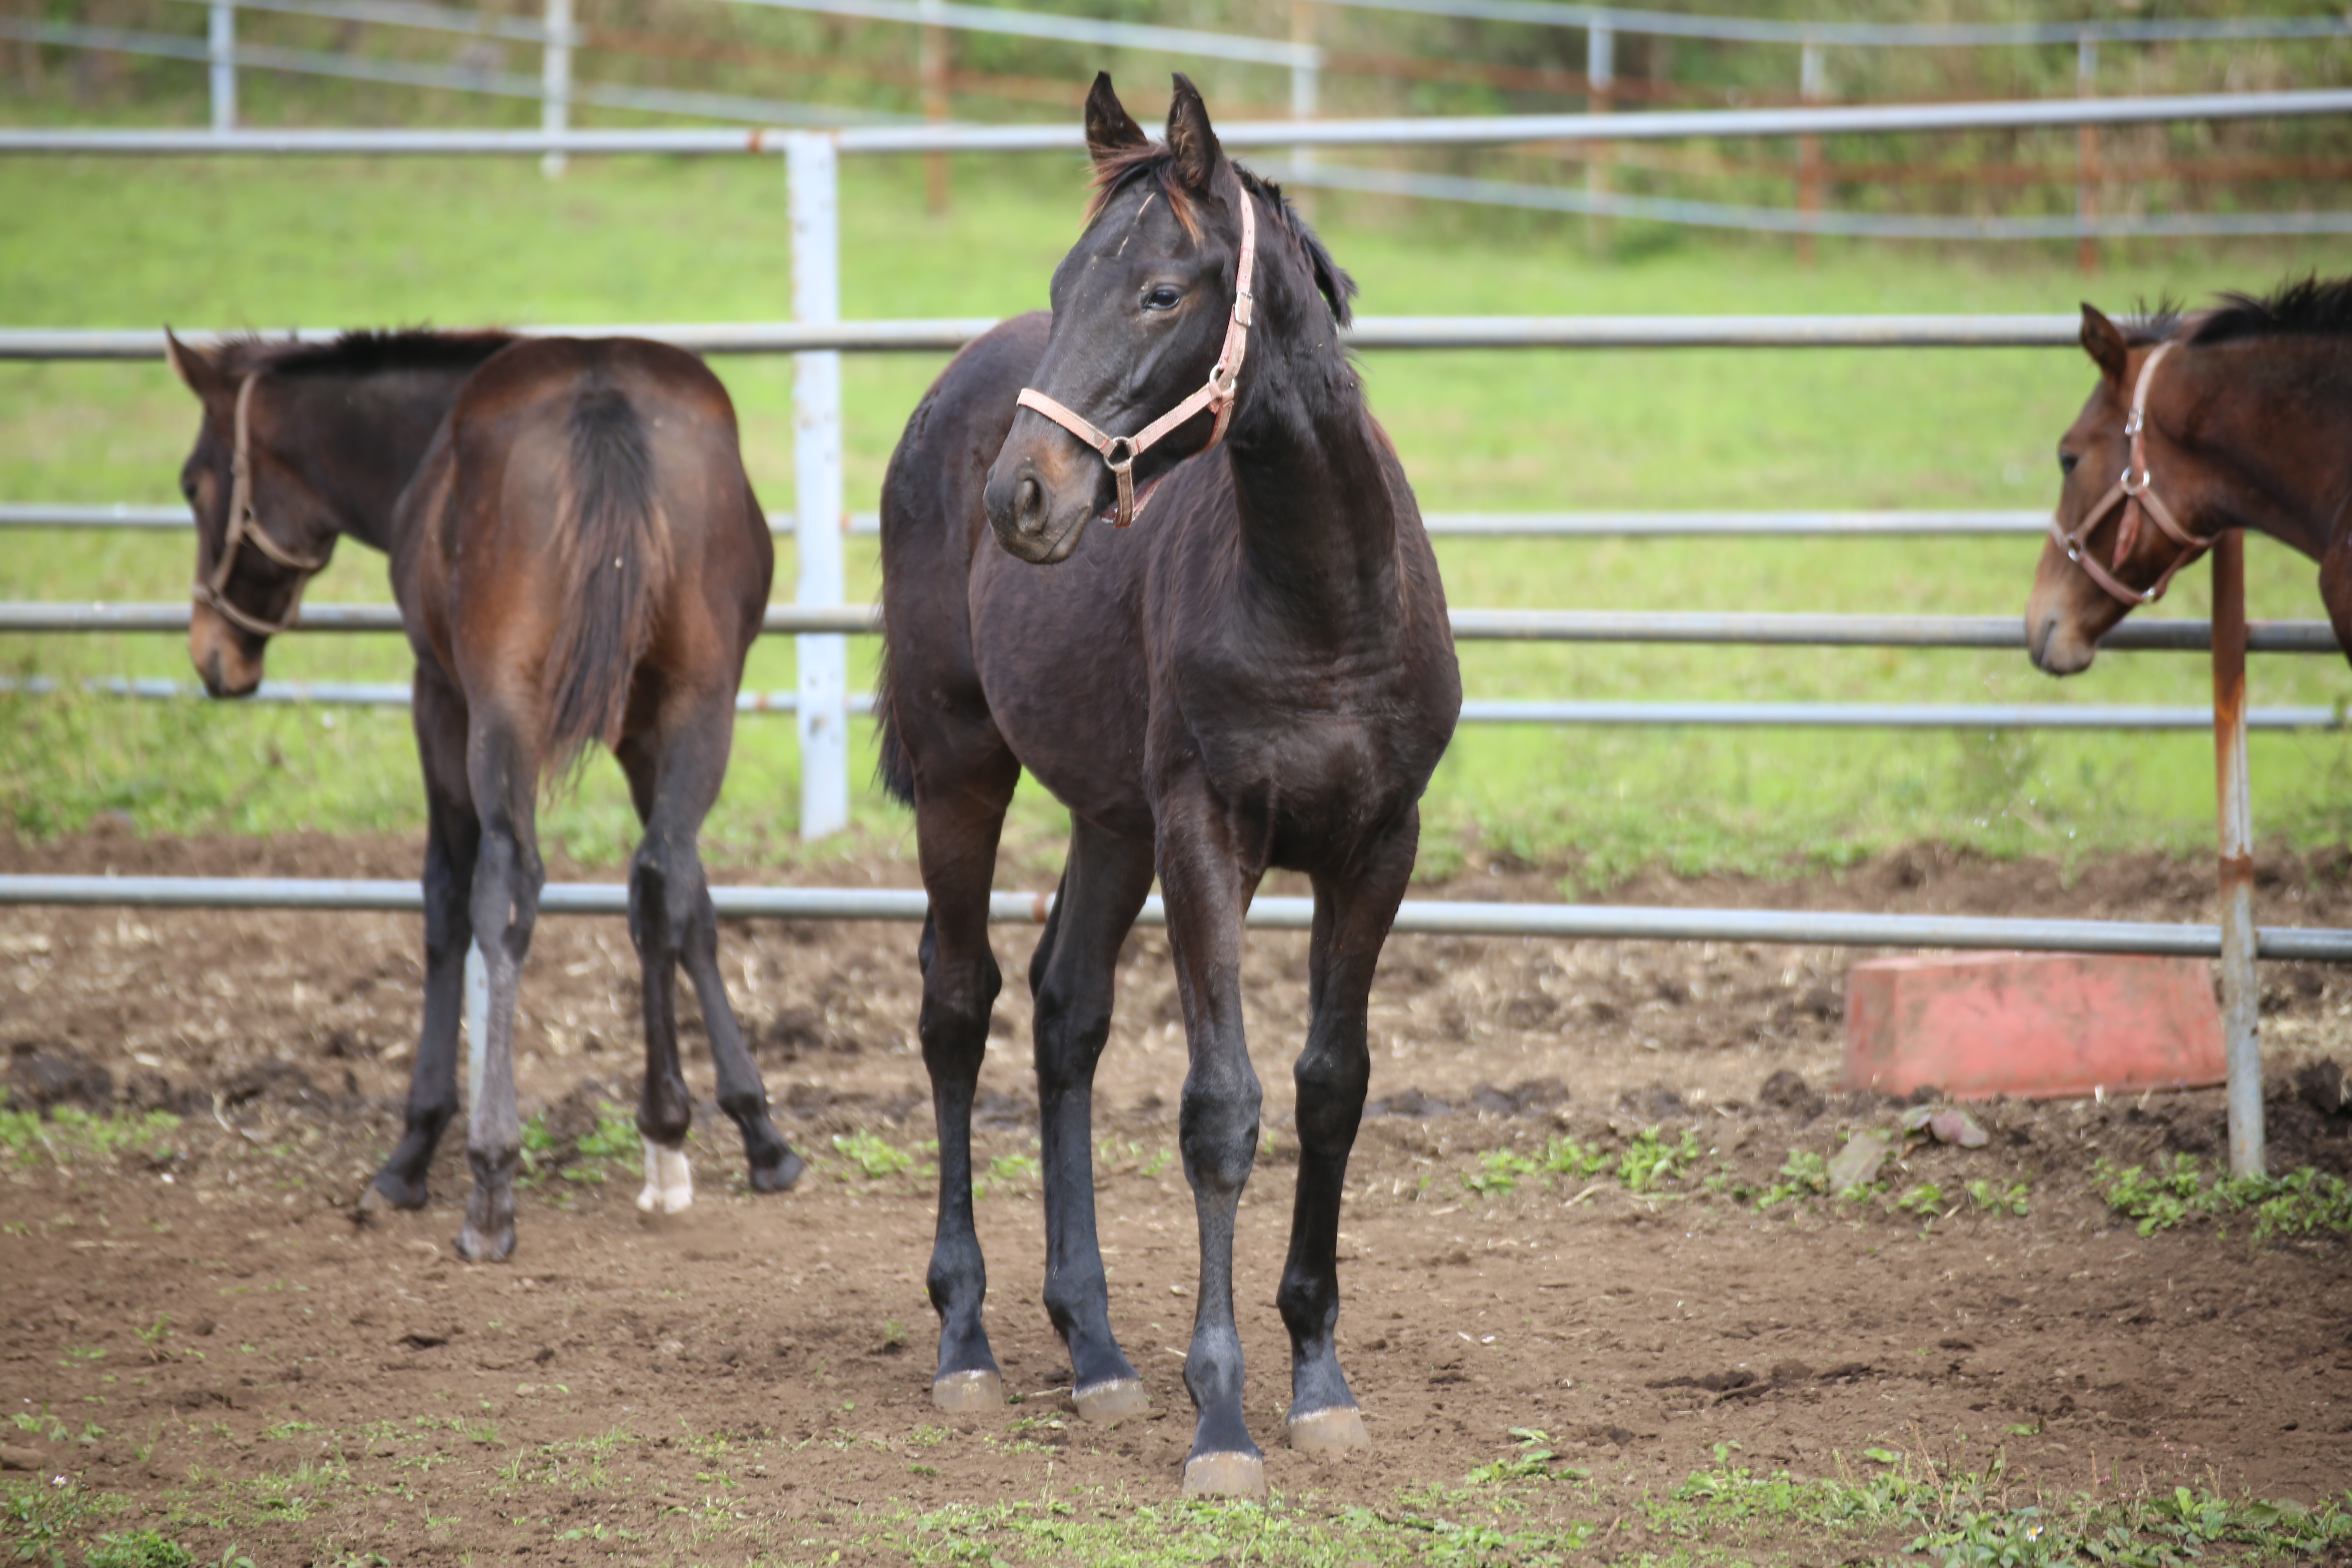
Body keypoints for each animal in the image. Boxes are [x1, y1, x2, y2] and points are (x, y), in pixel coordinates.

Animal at [166, 334, 804, 1260]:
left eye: (192, 483)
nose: (216, 655)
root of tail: (601, 397)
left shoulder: (437, 699)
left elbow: (445, 899)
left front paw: (414, 1148)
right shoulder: (645, 729)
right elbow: (687, 907)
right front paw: (732, 1132)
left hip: (501, 708)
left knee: (507, 884)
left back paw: (491, 1185)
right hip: (699, 700)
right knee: (661, 874)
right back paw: (671, 1138)